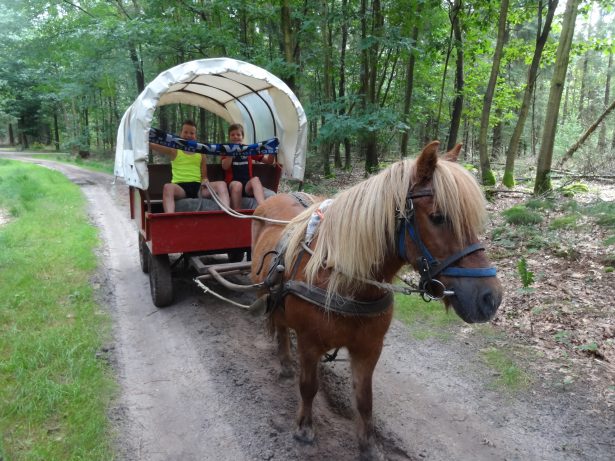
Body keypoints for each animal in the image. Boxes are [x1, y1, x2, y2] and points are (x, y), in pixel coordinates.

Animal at [250, 142, 506, 458]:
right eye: (438, 217)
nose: (490, 298)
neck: (343, 279)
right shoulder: (310, 343)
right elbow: (309, 386)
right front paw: (304, 428)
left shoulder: (369, 349)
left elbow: (364, 401)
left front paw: (368, 445)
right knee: (280, 325)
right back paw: (285, 362)